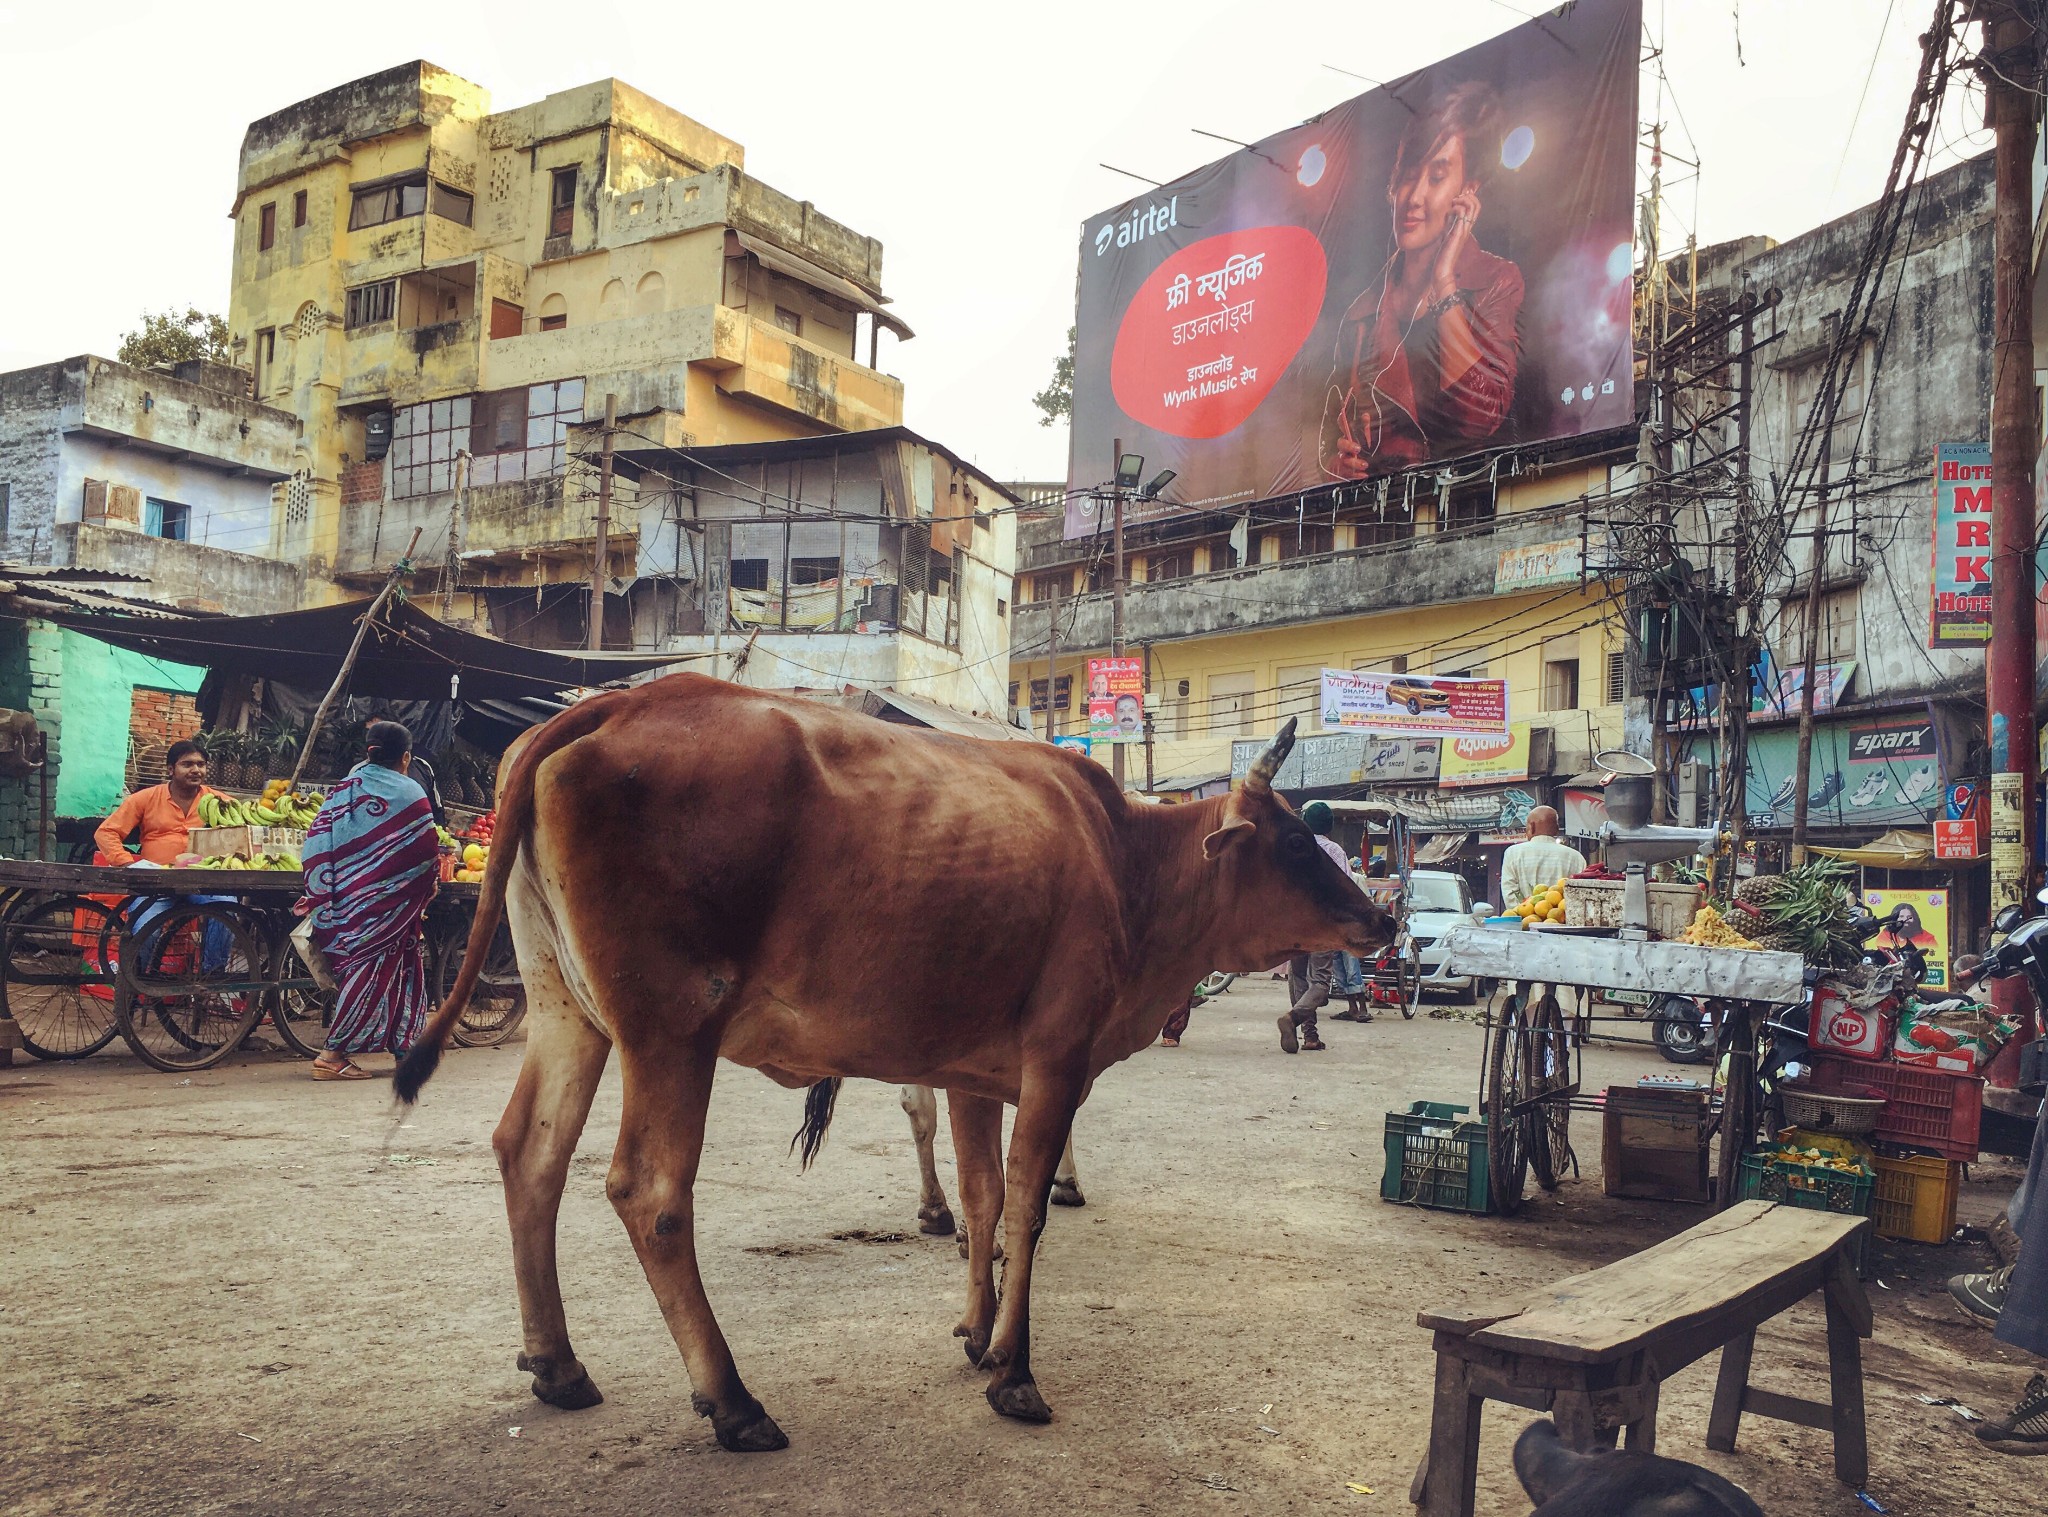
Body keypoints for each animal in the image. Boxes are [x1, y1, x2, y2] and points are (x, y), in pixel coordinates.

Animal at [395, 679, 1392, 1449]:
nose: (1381, 919)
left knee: (530, 1153)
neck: (1128, 864)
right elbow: (1027, 1206)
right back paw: (731, 1400)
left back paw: (557, 1363)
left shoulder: (975, 1071)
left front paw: (977, 1329)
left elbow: (984, 1196)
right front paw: (1015, 1371)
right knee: (649, 1190)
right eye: (1296, 841)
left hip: (565, 1010)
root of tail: (618, 701)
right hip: (671, 1029)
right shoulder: (1057, 1057)